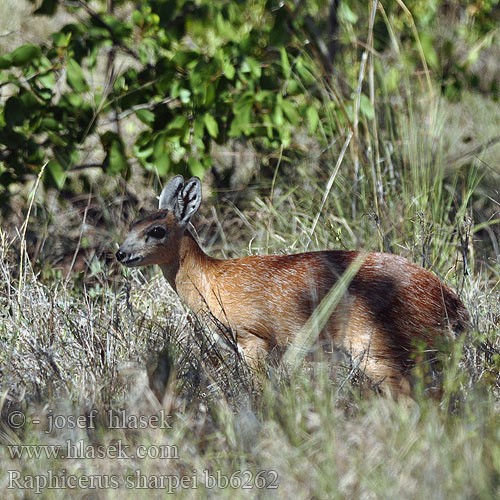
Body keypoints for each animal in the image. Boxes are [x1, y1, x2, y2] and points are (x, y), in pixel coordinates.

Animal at [116, 176, 468, 398]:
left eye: (157, 230)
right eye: (132, 224)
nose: (121, 254)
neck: (212, 279)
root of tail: (455, 306)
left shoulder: (253, 339)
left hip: (377, 349)